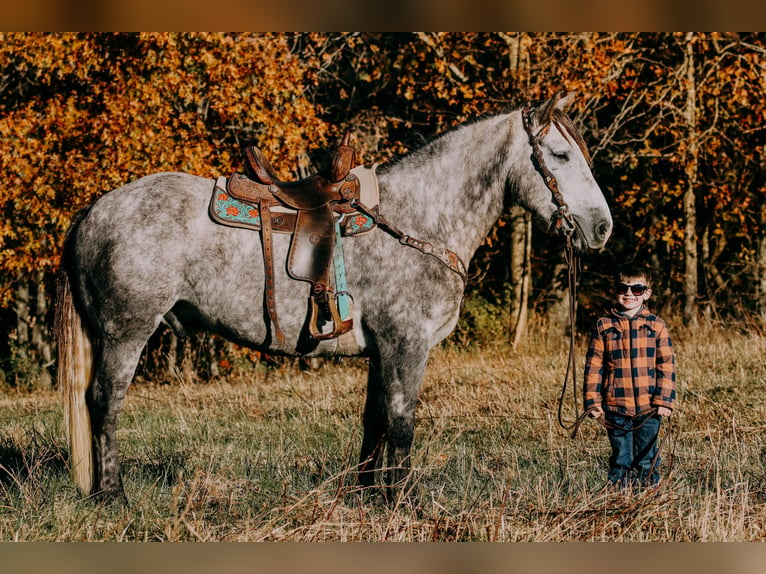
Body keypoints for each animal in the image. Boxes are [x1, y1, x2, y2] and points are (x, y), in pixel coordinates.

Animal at [55, 93, 612, 500]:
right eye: (560, 155)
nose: (602, 228)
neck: (417, 221)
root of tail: (93, 211)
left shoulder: (382, 351)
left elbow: (376, 421)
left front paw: (368, 494)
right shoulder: (407, 345)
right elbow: (402, 423)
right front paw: (401, 499)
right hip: (125, 334)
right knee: (104, 402)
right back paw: (112, 494)